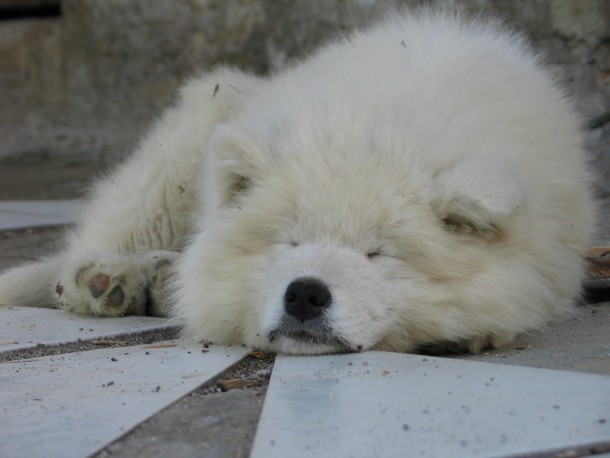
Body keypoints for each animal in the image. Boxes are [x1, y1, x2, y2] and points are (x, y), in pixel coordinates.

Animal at [0, 9, 592, 354]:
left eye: (378, 253)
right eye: (290, 241)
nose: (305, 293)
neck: (374, 123)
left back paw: (160, 279)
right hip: (196, 131)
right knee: (100, 239)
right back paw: (109, 278)